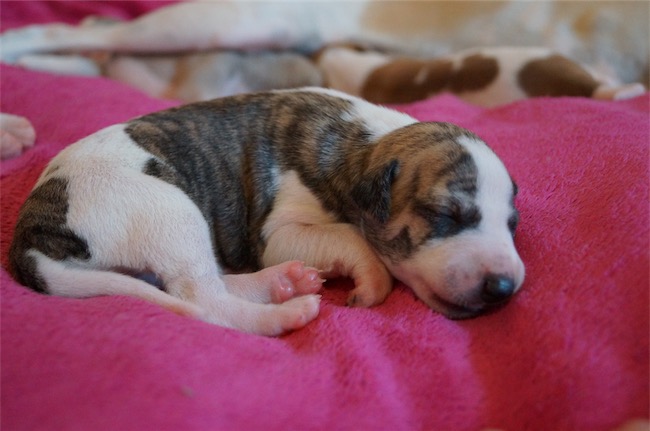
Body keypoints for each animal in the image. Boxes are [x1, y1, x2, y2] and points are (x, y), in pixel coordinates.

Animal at [8, 88, 525, 336]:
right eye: (447, 215)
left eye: (511, 224)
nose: (503, 287)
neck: (364, 143)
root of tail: (28, 237)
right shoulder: (278, 230)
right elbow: (351, 237)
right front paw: (371, 281)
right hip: (167, 209)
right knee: (204, 300)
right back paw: (283, 313)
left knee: (208, 283)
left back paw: (281, 283)